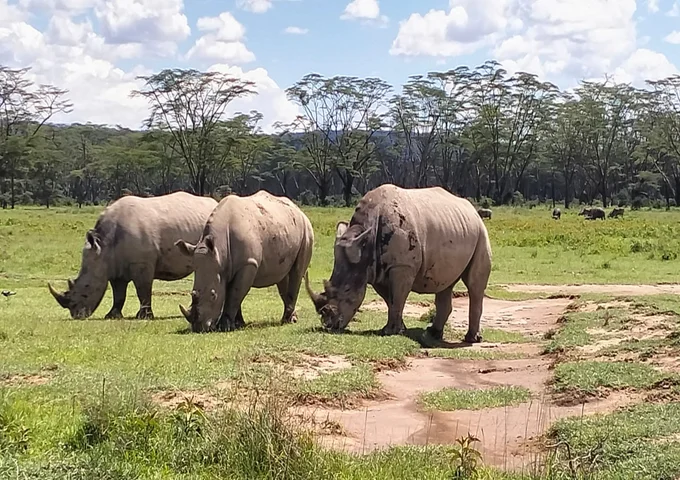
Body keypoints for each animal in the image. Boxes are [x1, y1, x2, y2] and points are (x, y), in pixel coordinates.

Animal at [48, 192, 218, 320]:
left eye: (87, 287)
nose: (76, 314)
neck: (103, 248)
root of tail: (215, 202)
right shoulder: (114, 265)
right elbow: (118, 293)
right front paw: (112, 316)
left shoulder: (141, 264)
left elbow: (142, 290)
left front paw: (144, 317)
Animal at [175, 190, 315, 333]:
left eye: (213, 295)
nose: (198, 328)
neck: (219, 249)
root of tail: (299, 210)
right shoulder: (225, 267)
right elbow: (232, 293)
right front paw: (238, 324)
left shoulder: (248, 264)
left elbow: (234, 294)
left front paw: (226, 327)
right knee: (282, 276)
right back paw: (290, 319)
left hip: (307, 230)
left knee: (297, 272)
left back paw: (288, 321)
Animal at [304, 184, 492, 344]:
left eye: (347, 290)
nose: (328, 325)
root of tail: (472, 210)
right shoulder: (375, 270)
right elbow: (391, 299)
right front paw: (399, 329)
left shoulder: (402, 266)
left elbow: (397, 297)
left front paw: (389, 331)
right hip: (454, 228)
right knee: (445, 282)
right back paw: (433, 333)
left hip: (481, 233)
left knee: (474, 284)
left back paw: (472, 339)